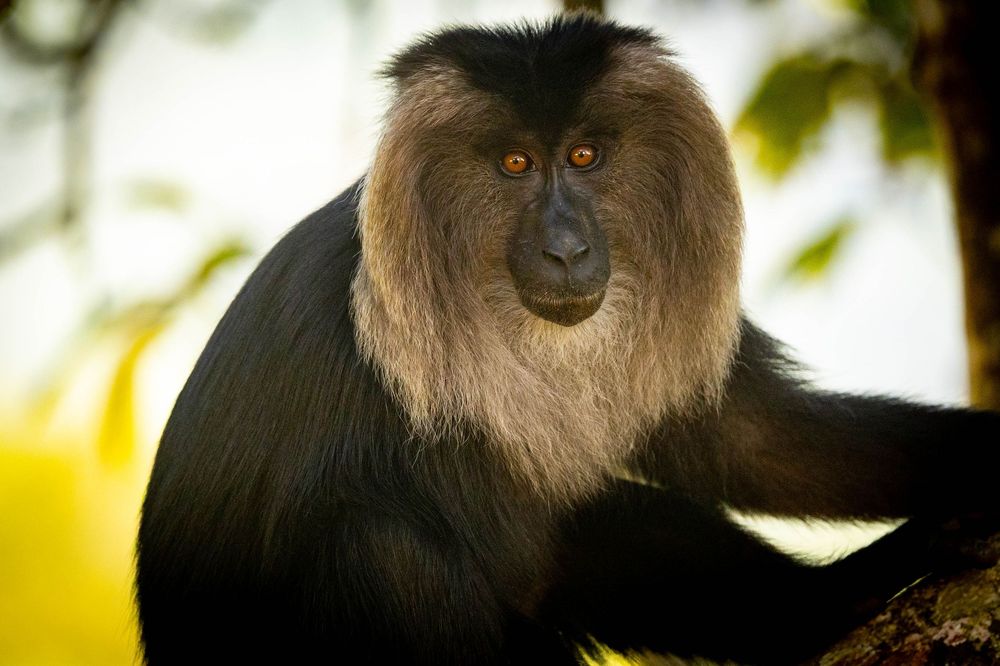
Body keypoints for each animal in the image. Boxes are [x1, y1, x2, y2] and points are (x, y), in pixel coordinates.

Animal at [135, 14, 1000, 665]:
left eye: (584, 156)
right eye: (516, 164)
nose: (565, 248)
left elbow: (753, 440)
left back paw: (831, 603)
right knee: (382, 549)